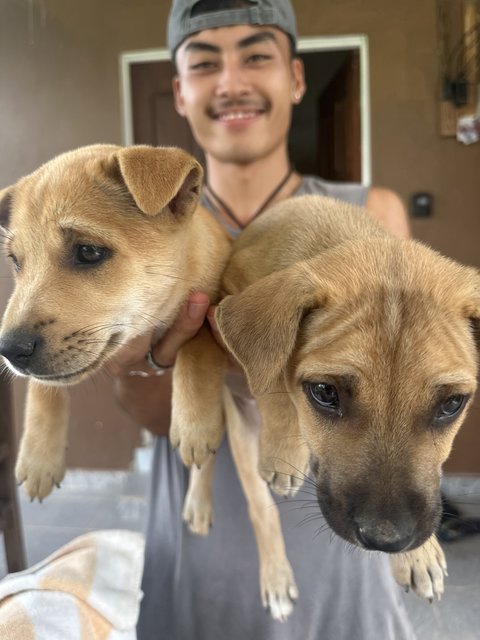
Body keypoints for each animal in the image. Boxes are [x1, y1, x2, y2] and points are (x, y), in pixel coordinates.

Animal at [0, 144, 231, 500]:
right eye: (15, 261)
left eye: (89, 252)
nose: (9, 351)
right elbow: (43, 386)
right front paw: (38, 457)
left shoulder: (213, 300)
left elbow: (198, 345)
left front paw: (195, 422)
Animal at [181, 195, 480, 620]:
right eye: (324, 392)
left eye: (452, 404)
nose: (385, 538)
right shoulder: (216, 311)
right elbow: (268, 372)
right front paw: (280, 448)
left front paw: (420, 555)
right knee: (250, 497)